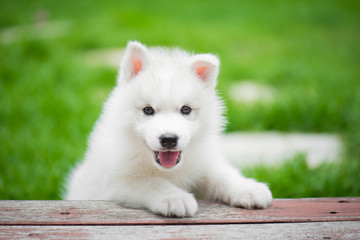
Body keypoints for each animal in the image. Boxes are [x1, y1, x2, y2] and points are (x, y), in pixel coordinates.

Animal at [65, 41, 272, 218]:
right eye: (148, 110)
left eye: (186, 109)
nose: (169, 139)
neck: (169, 171)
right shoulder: (118, 181)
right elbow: (152, 182)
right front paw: (175, 198)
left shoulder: (202, 162)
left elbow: (221, 174)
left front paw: (248, 188)